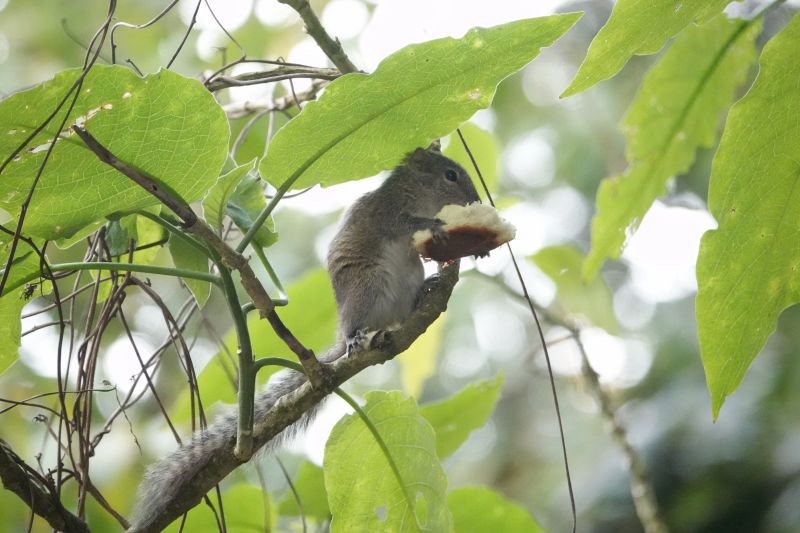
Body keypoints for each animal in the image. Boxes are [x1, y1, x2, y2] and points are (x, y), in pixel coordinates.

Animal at [128, 147, 480, 531]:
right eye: (450, 175)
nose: (476, 200)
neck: (414, 192)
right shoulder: (387, 212)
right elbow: (404, 225)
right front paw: (435, 226)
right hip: (367, 287)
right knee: (362, 324)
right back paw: (357, 339)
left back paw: (425, 291)